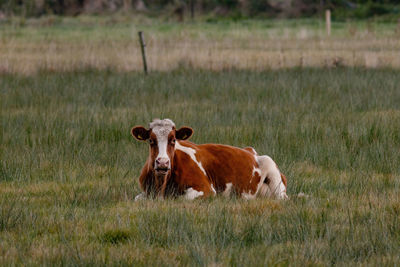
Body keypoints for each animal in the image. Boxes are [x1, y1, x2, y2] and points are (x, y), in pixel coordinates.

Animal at [131, 119, 288, 201]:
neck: (161, 187)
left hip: (273, 173)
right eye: (151, 140)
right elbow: (137, 198)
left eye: (173, 140)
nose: (162, 162)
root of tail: (251, 151)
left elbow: (182, 198)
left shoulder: (207, 189)